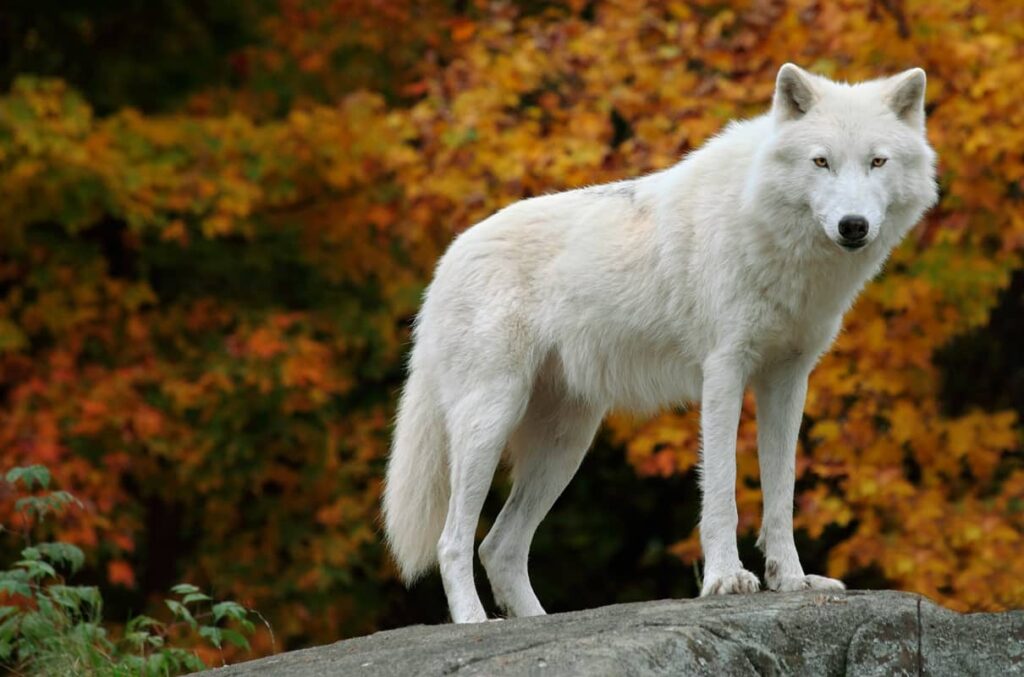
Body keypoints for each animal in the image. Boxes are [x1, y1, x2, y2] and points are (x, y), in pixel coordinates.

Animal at [382, 63, 938, 623]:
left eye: (877, 161)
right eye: (821, 161)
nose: (853, 226)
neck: (765, 226)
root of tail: (447, 260)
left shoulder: (787, 379)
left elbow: (781, 493)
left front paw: (791, 580)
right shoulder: (724, 371)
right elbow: (721, 489)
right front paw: (726, 579)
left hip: (565, 445)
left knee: (499, 546)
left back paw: (534, 619)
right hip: (491, 422)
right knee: (453, 541)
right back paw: (474, 624)